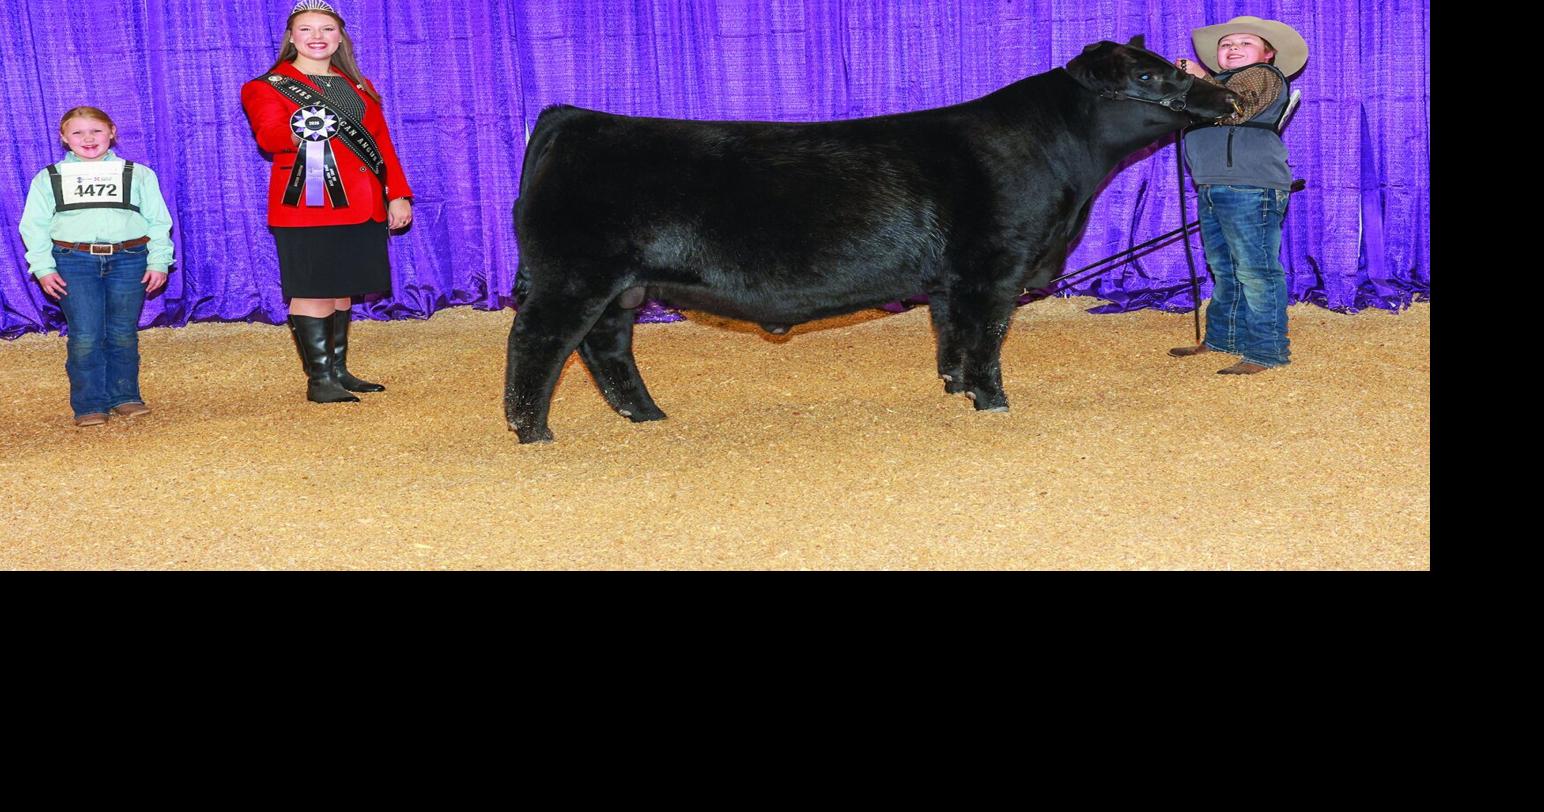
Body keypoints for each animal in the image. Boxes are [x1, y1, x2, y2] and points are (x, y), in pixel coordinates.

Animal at [504, 37, 1239, 443]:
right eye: (1147, 77)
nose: (1226, 101)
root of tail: (574, 118)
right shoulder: (991, 268)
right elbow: (984, 341)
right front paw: (993, 404)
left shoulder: (951, 280)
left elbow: (950, 337)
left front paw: (954, 392)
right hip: (575, 275)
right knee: (538, 345)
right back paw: (533, 432)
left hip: (620, 288)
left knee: (605, 350)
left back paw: (647, 418)